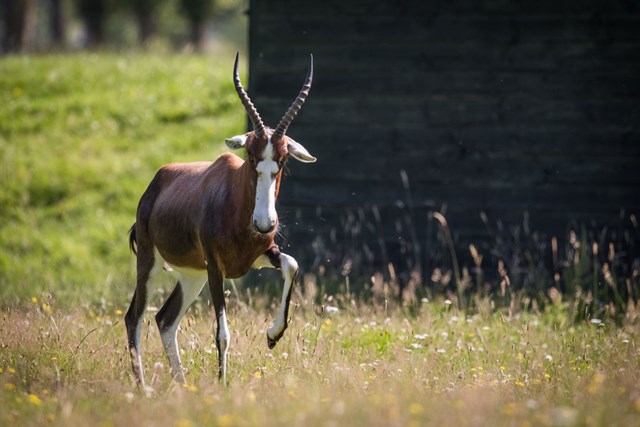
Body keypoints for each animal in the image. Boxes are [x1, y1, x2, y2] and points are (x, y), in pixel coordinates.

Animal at [125, 51, 316, 390]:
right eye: (251, 157)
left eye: (281, 160)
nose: (265, 223)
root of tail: (156, 182)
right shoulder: (217, 268)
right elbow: (223, 334)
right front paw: (222, 384)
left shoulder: (258, 257)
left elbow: (292, 265)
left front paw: (272, 335)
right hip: (151, 260)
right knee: (134, 317)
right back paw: (144, 389)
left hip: (192, 275)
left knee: (165, 319)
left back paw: (181, 384)